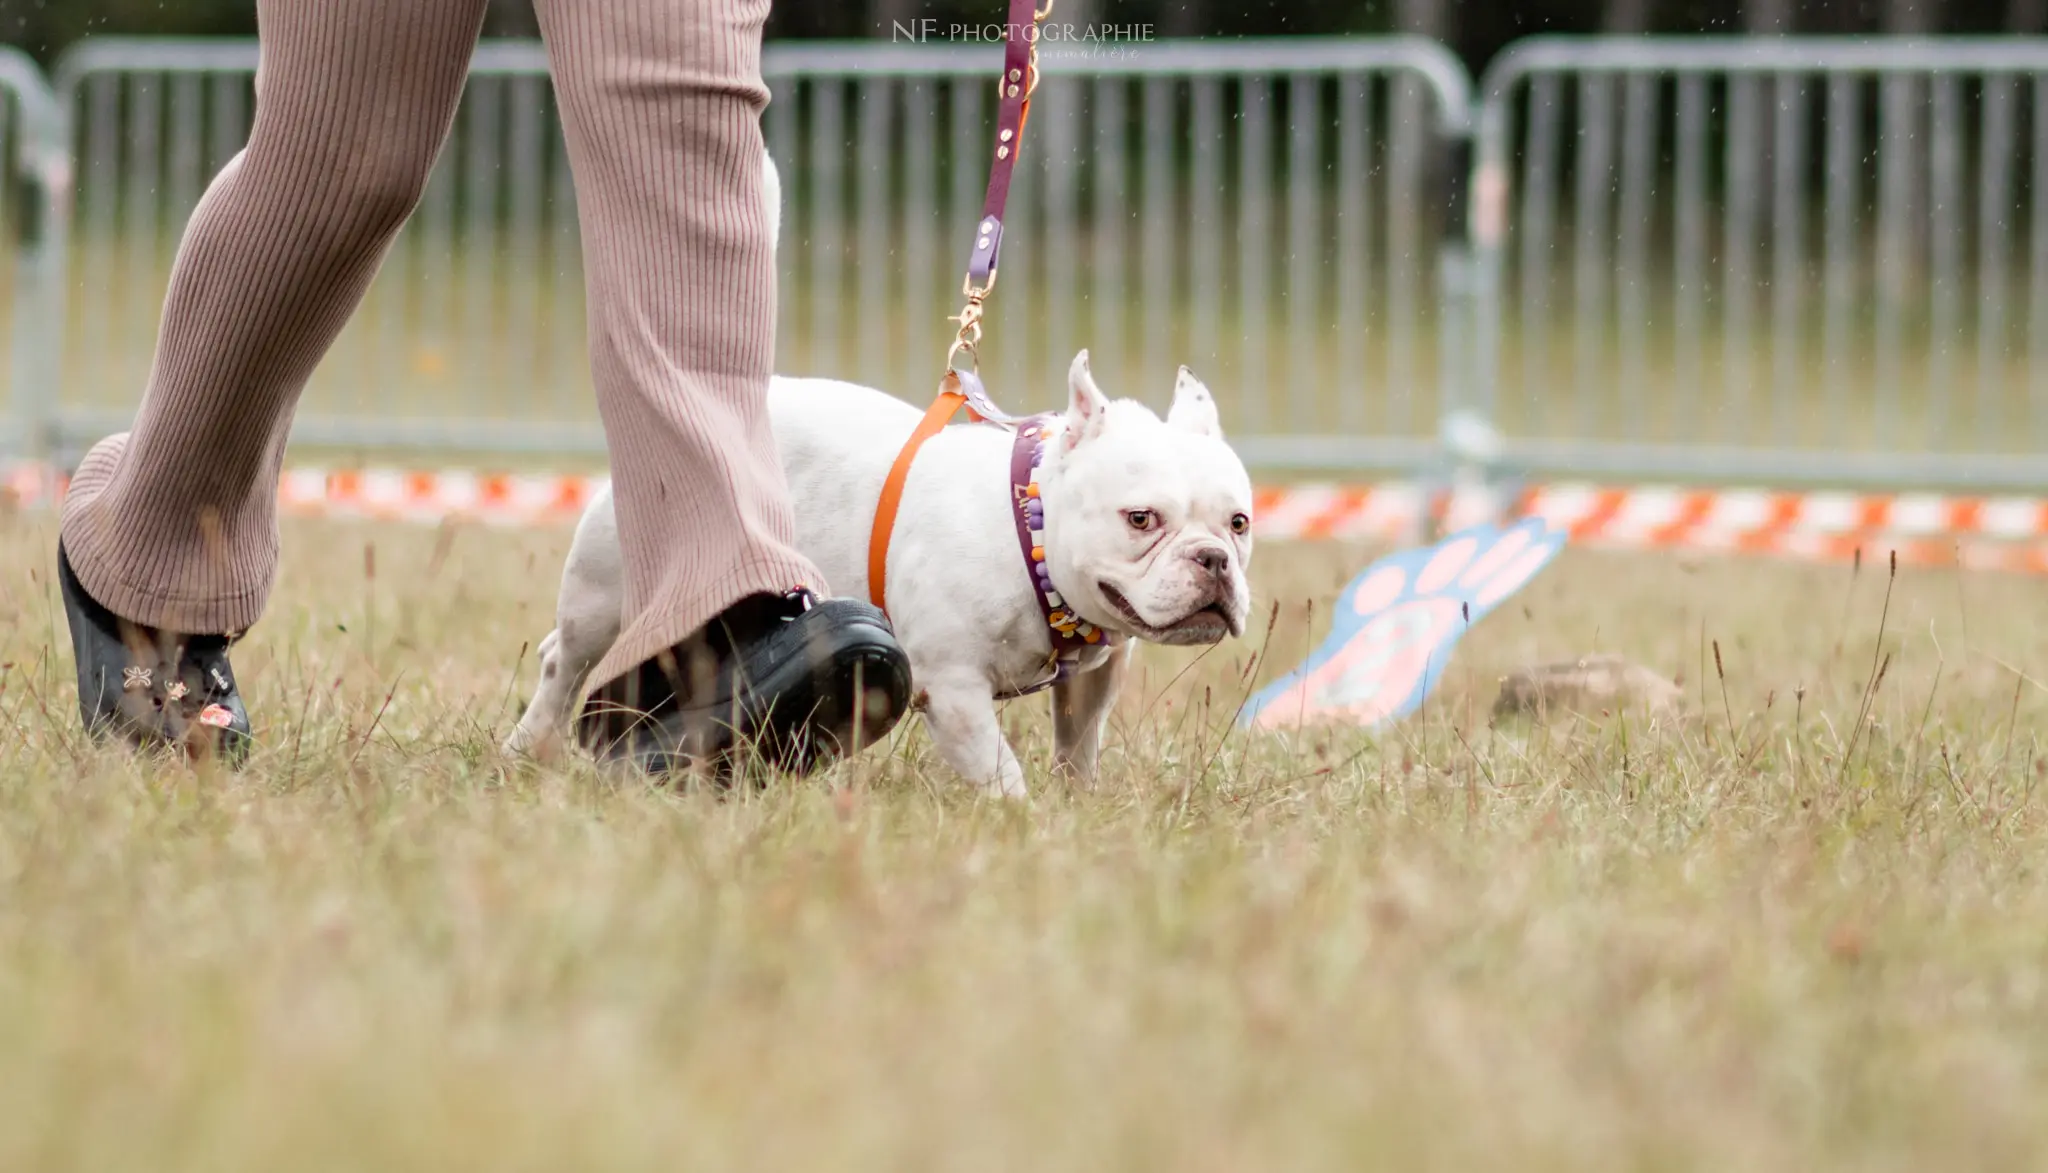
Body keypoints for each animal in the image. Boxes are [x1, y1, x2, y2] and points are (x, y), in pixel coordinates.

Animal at [503, 159, 1253, 794]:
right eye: (1141, 519)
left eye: (1239, 524)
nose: (1214, 559)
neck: (1030, 528)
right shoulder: (953, 689)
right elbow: (999, 768)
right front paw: (1019, 820)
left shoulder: (1091, 683)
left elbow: (1078, 746)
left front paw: (1075, 807)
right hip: (605, 589)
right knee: (565, 660)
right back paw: (530, 747)